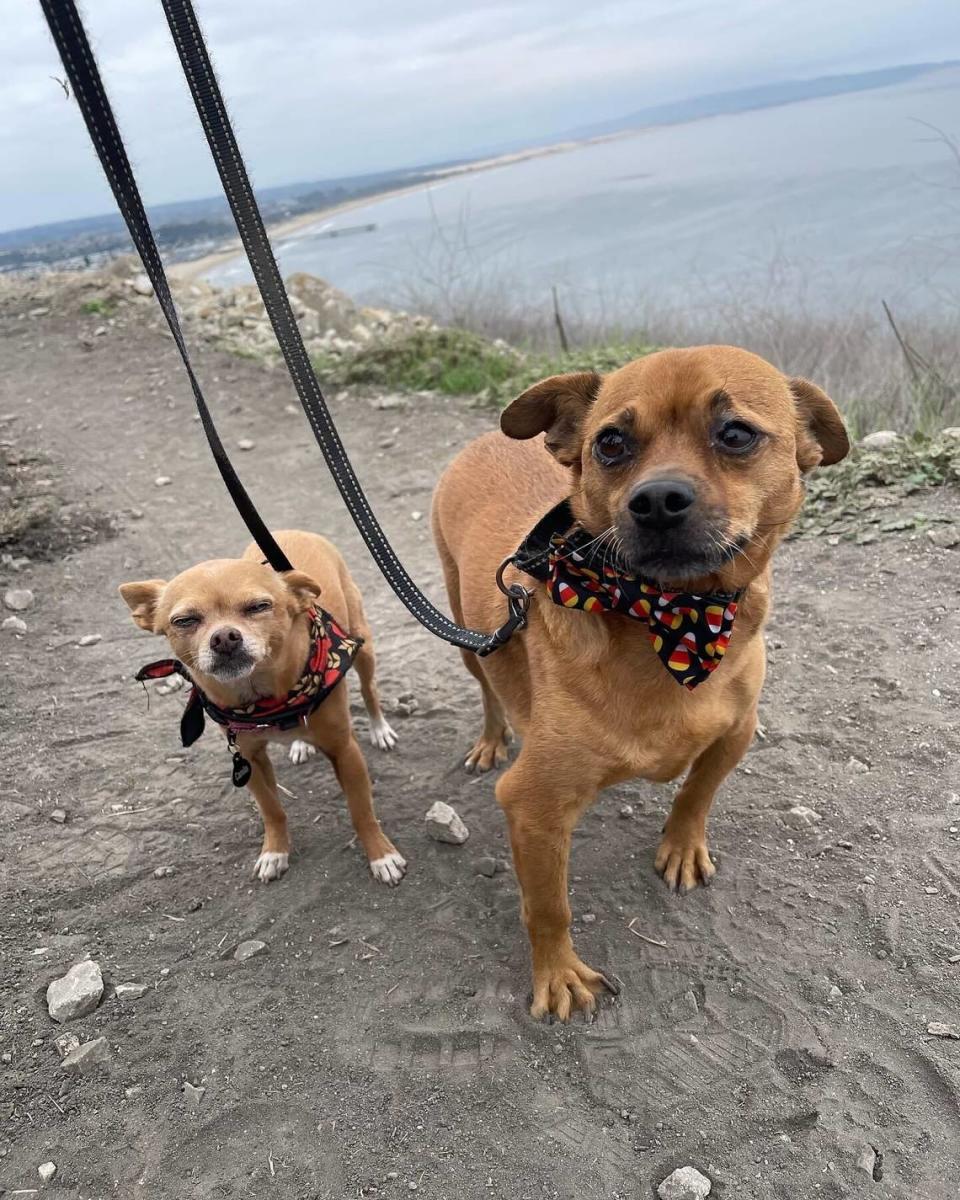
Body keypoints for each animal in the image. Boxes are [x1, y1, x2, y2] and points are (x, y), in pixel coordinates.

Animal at [434, 348, 849, 1022]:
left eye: (736, 434)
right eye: (611, 443)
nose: (656, 499)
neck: (668, 619)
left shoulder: (736, 732)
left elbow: (697, 792)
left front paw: (680, 846)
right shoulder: (533, 807)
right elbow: (549, 906)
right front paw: (558, 974)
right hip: (469, 637)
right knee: (489, 692)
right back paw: (492, 739)